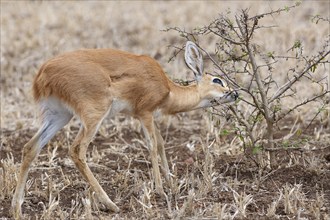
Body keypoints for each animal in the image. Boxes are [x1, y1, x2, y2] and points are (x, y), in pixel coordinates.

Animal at [10, 40, 237, 217]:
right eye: (217, 80)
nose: (234, 93)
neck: (169, 90)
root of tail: (43, 72)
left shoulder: (146, 116)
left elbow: (161, 144)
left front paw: (171, 184)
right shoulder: (145, 113)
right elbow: (152, 145)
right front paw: (160, 191)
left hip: (60, 116)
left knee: (30, 147)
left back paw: (16, 207)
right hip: (94, 115)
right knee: (77, 150)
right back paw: (111, 204)